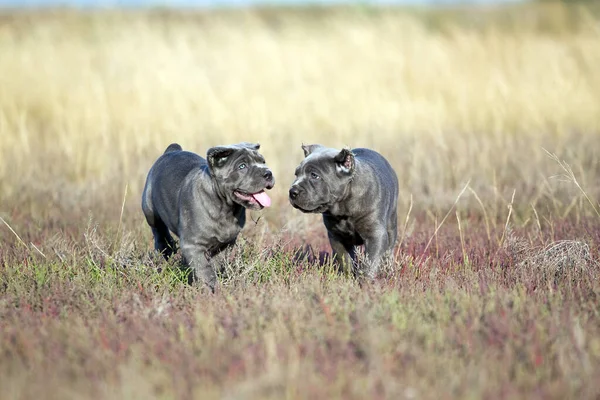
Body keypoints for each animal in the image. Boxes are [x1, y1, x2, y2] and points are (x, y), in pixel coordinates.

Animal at [141, 142, 274, 290]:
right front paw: (211, 289)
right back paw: (165, 249)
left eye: (263, 162)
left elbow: (216, 264)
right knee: (158, 230)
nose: (268, 173)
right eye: (242, 166)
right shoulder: (193, 245)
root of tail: (171, 151)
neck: (225, 207)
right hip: (150, 210)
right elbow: (204, 269)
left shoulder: (225, 243)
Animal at [290, 144, 398, 278]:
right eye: (296, 174)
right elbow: (344, 259)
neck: (343, 207)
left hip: (391, 225)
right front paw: (347, 277)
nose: (292, 191)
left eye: (314, 175)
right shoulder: (336, 236)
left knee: (389, 251)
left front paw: (364, 280)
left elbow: (370, 262)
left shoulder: (375, 235)